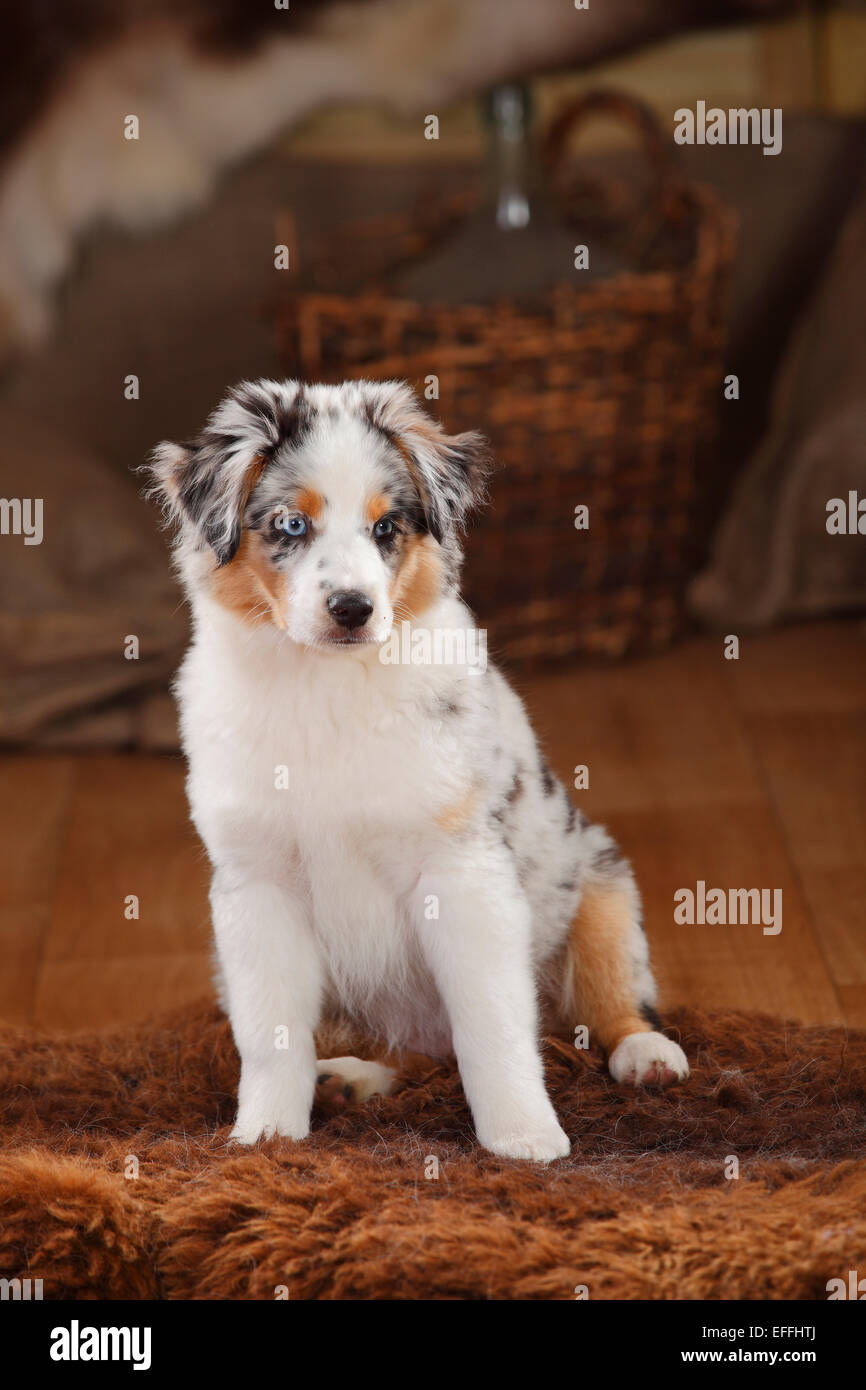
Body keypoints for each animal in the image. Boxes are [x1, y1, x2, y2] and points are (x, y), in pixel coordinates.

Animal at [150, 378, 692, 1162]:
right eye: (290, 525)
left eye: (387, 529)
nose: (352, 609)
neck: (326, 686)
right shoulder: (256, 886)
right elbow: (272, 1036)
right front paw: (267, 1139)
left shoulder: (462, 869)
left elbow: (494, 1023)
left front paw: (525, 1141)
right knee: (403, 1053)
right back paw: (349, 1078)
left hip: (601, 882)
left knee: (611, 993)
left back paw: (648, 1056)